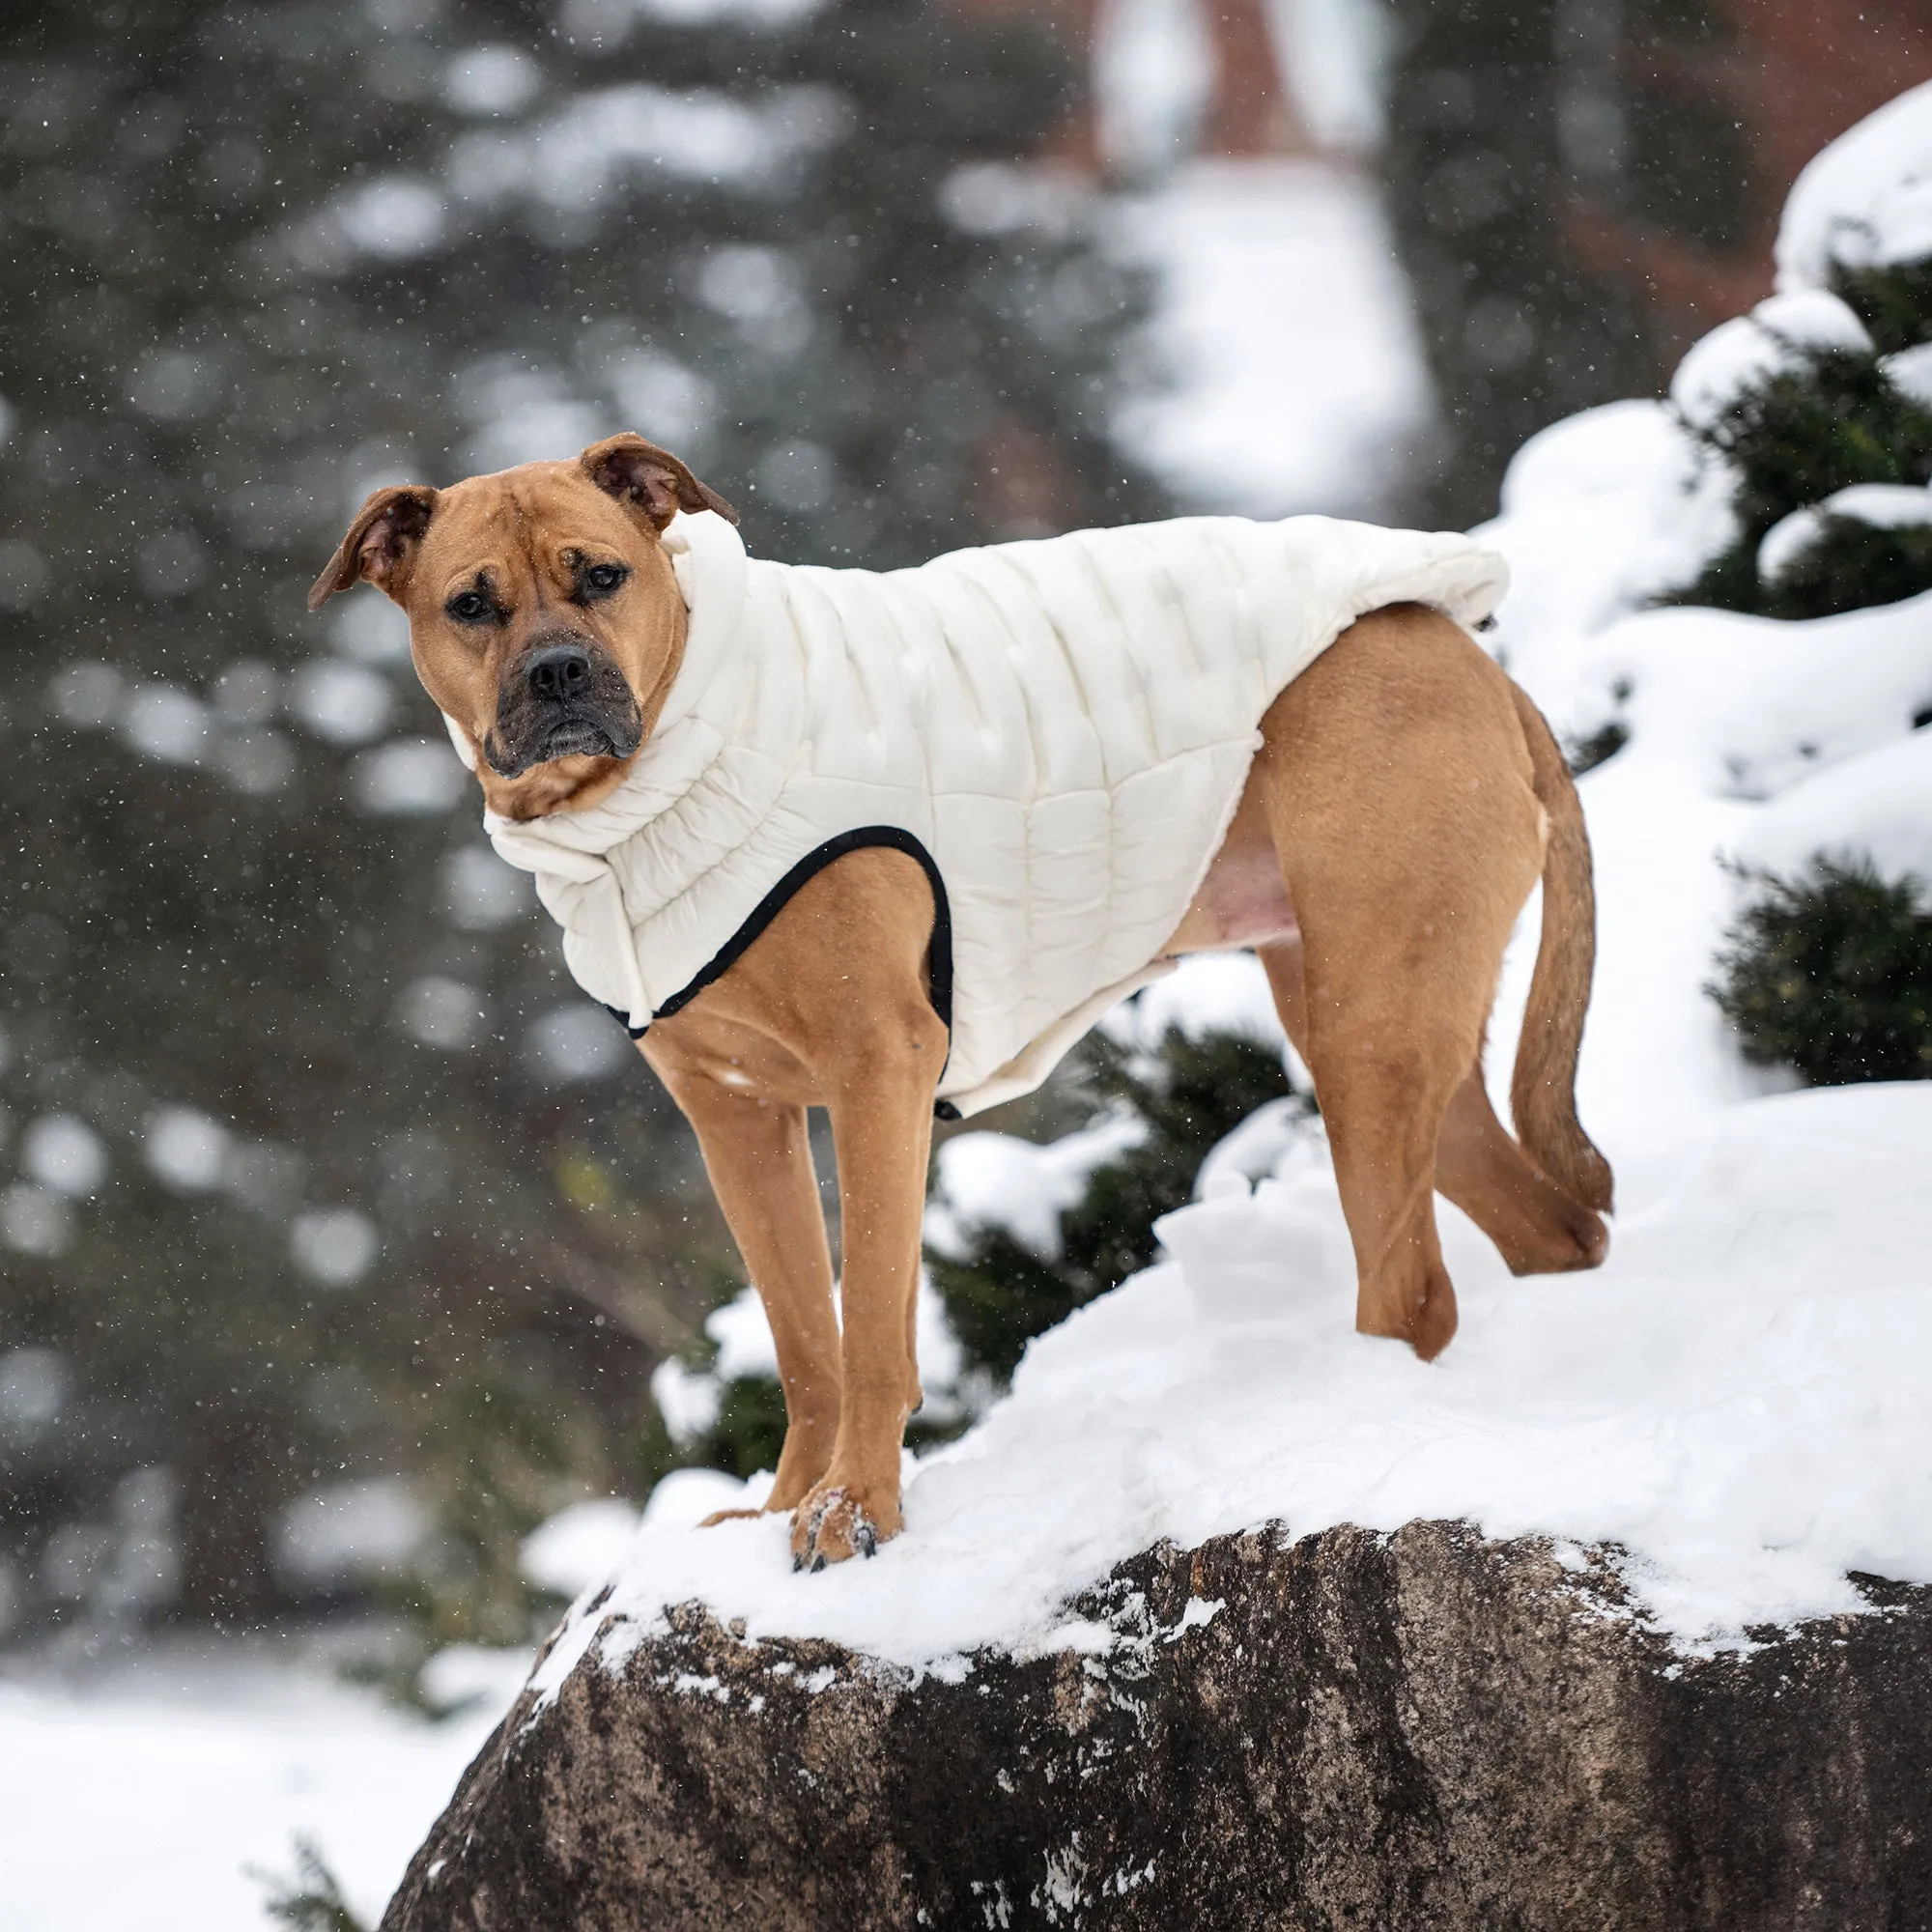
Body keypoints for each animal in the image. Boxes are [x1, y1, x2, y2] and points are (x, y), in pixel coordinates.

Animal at [313, 435, 1615, 1569]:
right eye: (469, 605)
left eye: (601, 575)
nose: (559, 672)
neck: (669, 767)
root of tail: (1465, 653)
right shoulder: (735, 1114)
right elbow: (804, 1337)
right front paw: (779, 1508)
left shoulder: (876, 1070)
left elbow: (869, 1333)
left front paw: (852, 1512)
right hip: (1375, 1019)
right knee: (1548, 1233)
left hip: (1370, 1021)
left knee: (1412, 1288)